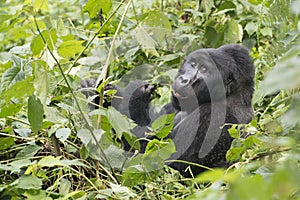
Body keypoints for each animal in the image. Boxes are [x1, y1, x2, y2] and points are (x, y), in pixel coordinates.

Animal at [81, 43, 254, 177]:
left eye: (204, 69)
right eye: (193, 64)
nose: (185, 79)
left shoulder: (214, 118)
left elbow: (150, 160)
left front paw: (136, 94)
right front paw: (97, 93)